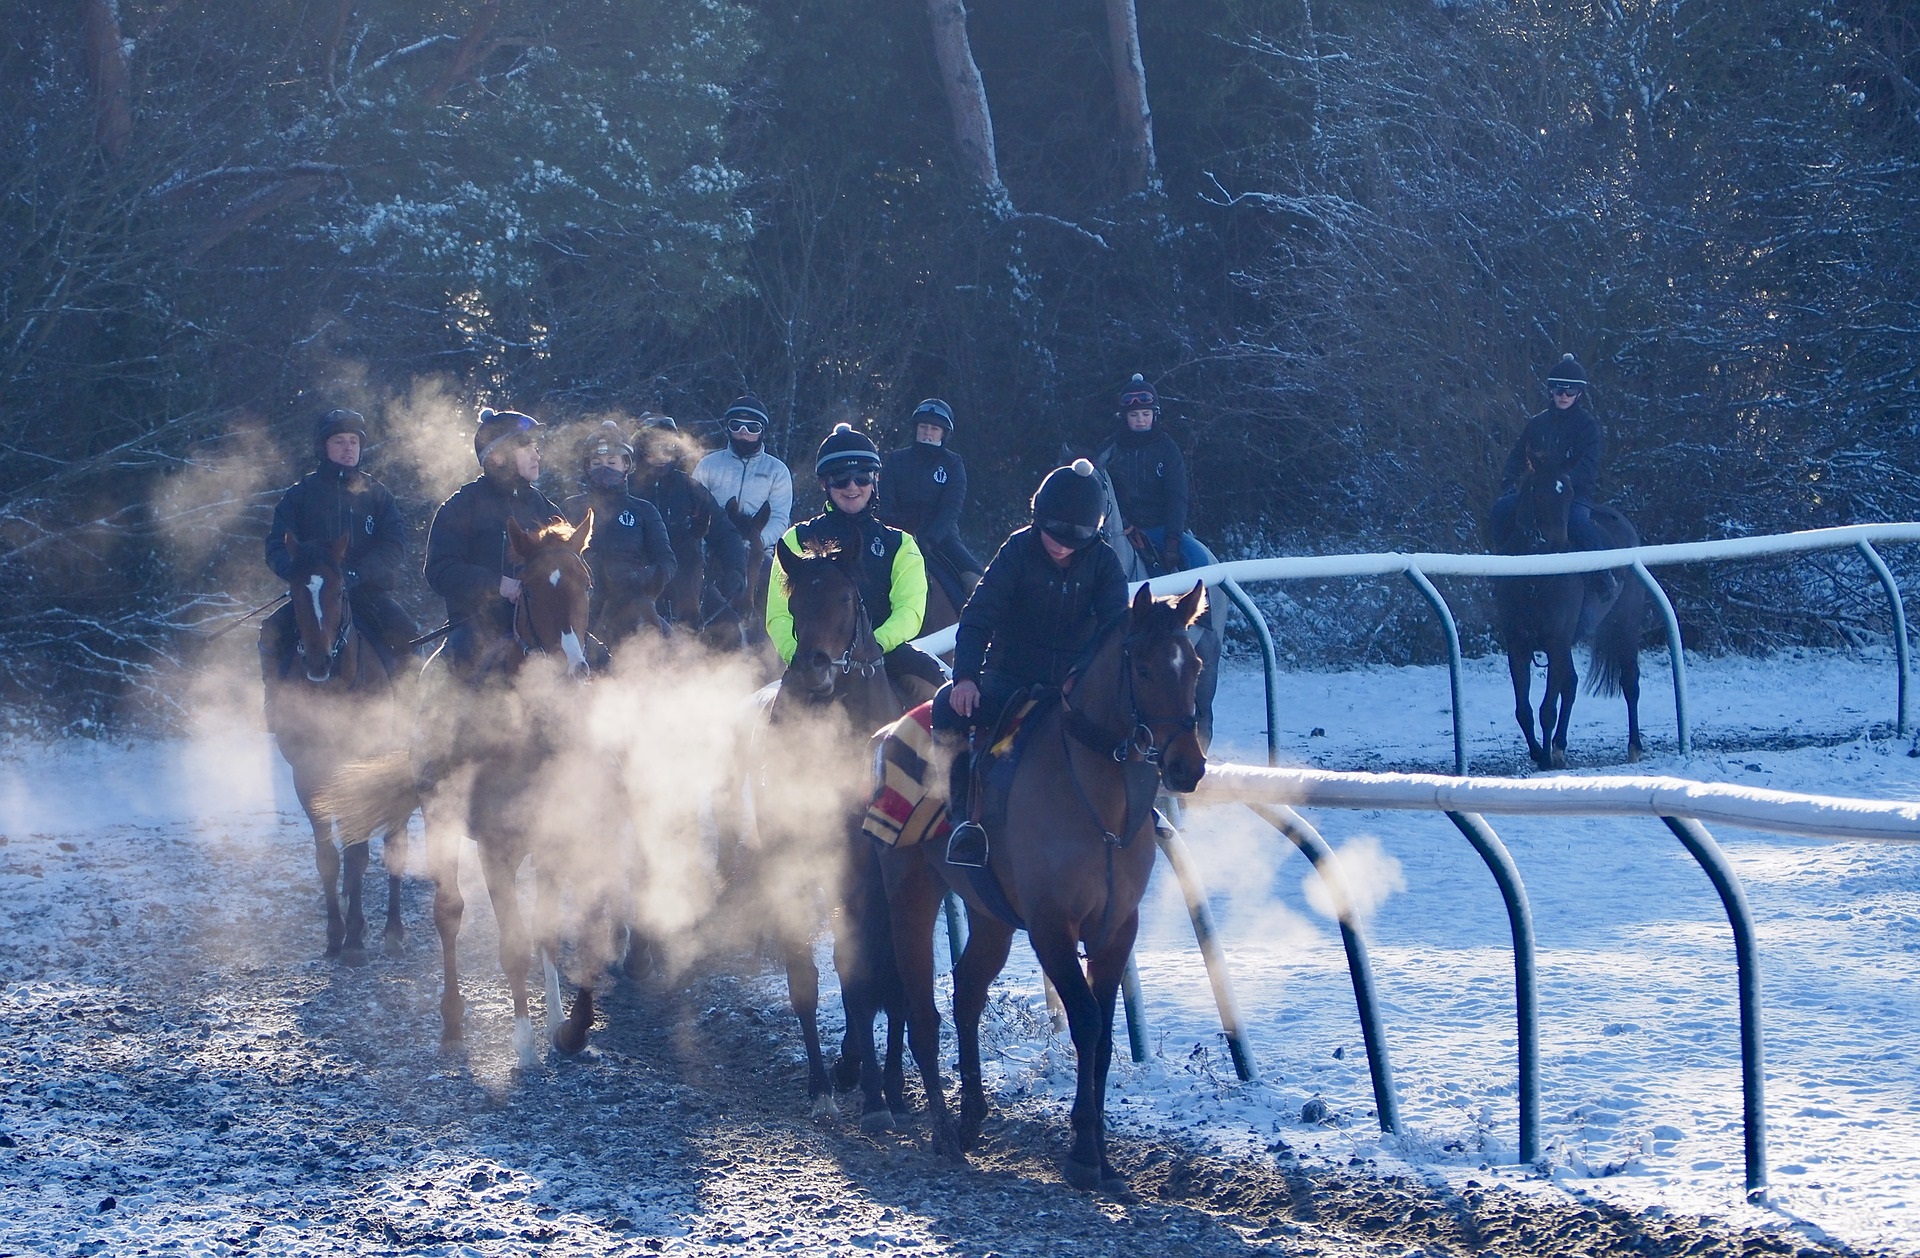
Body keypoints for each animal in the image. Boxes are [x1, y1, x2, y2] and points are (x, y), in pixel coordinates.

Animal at [266, 532, 404, 966]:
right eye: (294, 590)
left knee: (395, 843)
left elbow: (357, 854)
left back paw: (394, 931)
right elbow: (327, 858)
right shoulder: (308, 776)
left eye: (341, 588)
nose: (318, 661)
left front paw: (356, 938)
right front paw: (336, 934)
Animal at [322, 513, 628, 1066]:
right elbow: (513, 943)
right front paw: (524, 1044)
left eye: (586, 582)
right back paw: (452, 1024)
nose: (574, 672)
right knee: (449, 914)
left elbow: (549, 930)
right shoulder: (495, 848)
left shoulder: (558, 838)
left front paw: (564, 1026)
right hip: (441, 819)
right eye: (529, 587)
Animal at [720, 539, 909, 1127]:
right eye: (794, 600)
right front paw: (833, 1085)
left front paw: (878, 1092)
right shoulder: (799, 865)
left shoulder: (864, 874)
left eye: (847, 596)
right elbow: (815, 975)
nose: (814, 669)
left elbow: (866, 972)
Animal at [879, 581, 1208, 1193]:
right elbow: (1085, 1021)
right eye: (1144, 667)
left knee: (966, 993)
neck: (1100, 806)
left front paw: (1103, 1157)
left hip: (989, 915)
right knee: (920, 1009)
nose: (1187, 767)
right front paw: (1082, 1153)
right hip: (910, 890)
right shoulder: (1052, 926)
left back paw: (972, 1116)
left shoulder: (1116, 929)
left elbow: (1104, 1037)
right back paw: (942, 1132)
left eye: (1194, 665)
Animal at [1491, 449, 1646, 769]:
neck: (1534, 579)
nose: (1555, 543)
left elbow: (1547, 708)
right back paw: (1559, 747)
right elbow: (1523, 709)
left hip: (1625, 625)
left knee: (1630, 682)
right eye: (1536, 488)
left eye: (1569, 491)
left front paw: (1545, 758)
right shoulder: (1518, 644)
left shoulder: (1556, 641)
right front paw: (1540, 752)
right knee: (1572, 684)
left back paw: (1634, 746)